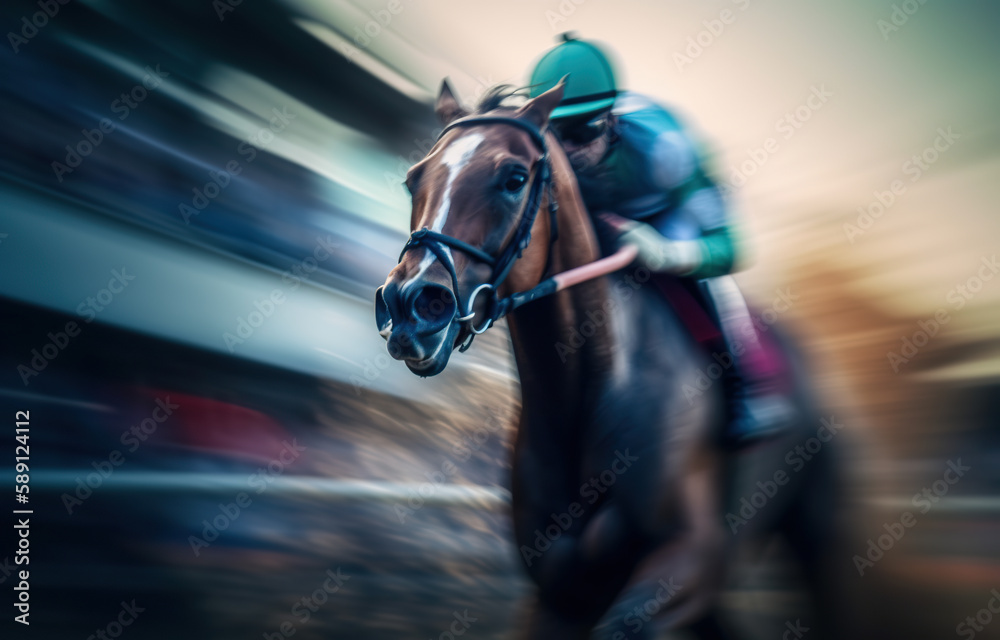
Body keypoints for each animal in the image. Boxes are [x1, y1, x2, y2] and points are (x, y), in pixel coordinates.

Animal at [374, 80, 846, 639]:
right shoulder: (558, 588)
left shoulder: (694, 555)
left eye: (514, 179)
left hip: (820, 531)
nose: (410, 305)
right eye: (413, 180)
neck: (592, 387)